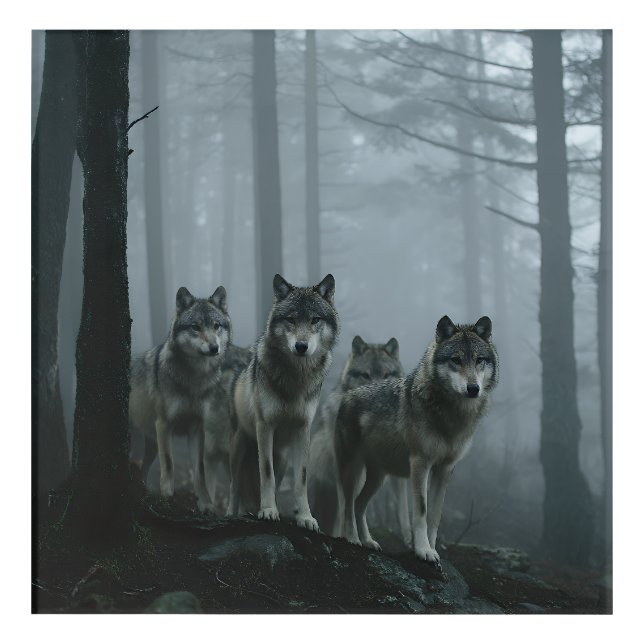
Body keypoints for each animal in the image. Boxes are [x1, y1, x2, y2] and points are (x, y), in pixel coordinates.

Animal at [129, 286, 231, 511]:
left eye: (216, 326)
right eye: (195, 327)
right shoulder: (164, 424)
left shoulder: (197, 429)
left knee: (141, 470)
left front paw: (206, 504)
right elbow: (169, 464)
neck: (194, 379)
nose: (214, 348)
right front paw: (167, 498)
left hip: (150, 446)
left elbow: (200, 471)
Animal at [227, 273, 338, 531]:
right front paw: (268, 510)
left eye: (315, 319)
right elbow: (266, 473)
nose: (301, 346)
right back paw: (231, 513)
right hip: (238, 447)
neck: (296, 378)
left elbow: (301, 478)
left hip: (284, 458)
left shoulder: (303, 429)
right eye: (291, 319)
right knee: (234, 485)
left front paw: (305, 517)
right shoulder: (265, 426)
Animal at [335, 315, 498, 567]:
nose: (473, 388)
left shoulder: (445, 469)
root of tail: (348, 395)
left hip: (378, 477)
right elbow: (421, 510)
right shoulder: (420, 463)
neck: (452, 415)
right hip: (352, 469)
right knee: (348, 504)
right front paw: (422, 550)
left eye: (479, 360)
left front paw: (432, 549)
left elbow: (435, 516)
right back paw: (352, 539)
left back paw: (369, 541)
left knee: (360, 505)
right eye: (456, 360)